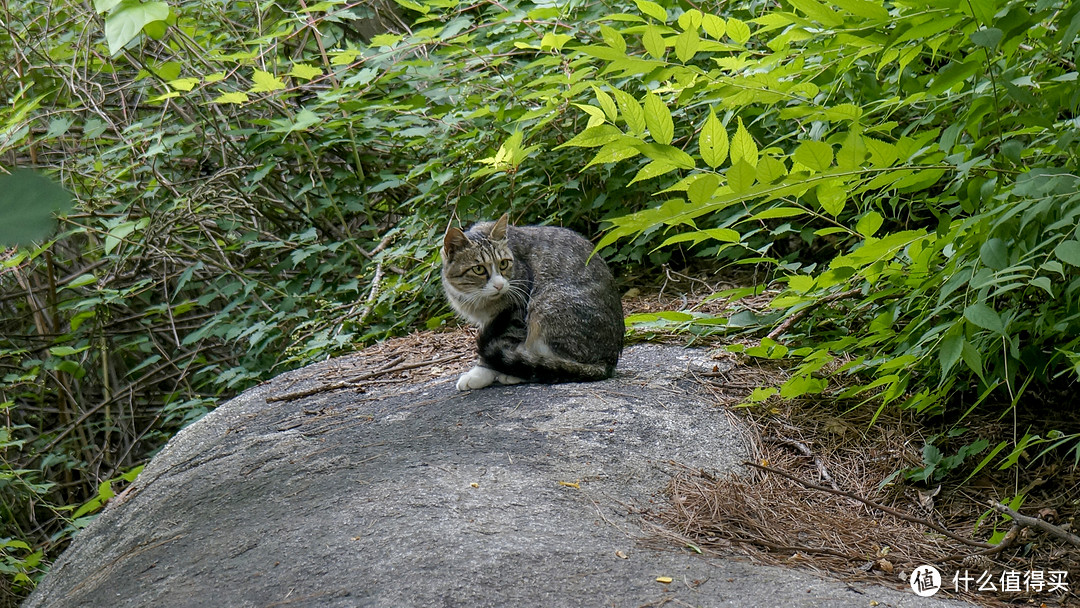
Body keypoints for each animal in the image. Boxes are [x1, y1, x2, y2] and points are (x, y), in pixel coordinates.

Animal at [440, 213, 626, 393]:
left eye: (503, 263)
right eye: (478, 269)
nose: (499, 285)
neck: (480, 300)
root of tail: (608, 361)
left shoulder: (516, 308)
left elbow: (498, 344)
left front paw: (480, 373)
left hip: (546, 304)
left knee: (554, 365)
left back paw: (518, 372)